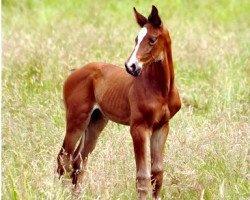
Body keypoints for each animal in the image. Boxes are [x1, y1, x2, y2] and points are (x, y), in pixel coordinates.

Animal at [57, 5, 181, 199]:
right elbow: (142, 177)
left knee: (78, 160)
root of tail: (74, 72)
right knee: (64, 157)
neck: (161, 90)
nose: (131, 66)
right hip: (77, 119)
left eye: (152, 40)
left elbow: (157, 174)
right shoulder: (138, 128)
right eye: (136, 39)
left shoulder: (162, 127)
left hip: (96, 121)